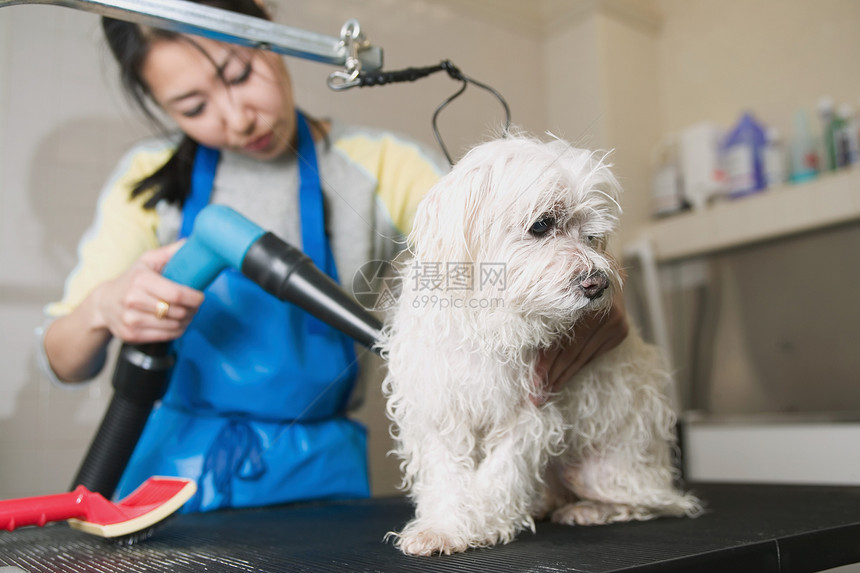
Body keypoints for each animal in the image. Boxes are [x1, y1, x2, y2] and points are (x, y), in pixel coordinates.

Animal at [380, 133, 704, 556]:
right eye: (542, 224)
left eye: (592, 236)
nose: (598, 283)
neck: (496, 320)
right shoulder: (441, 410)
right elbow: (446, 478)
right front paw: (444, 528)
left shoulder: (531, 413)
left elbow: (498, 476)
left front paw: (481, 522)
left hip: (600, 472)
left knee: (653, 504)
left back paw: (589, 510)